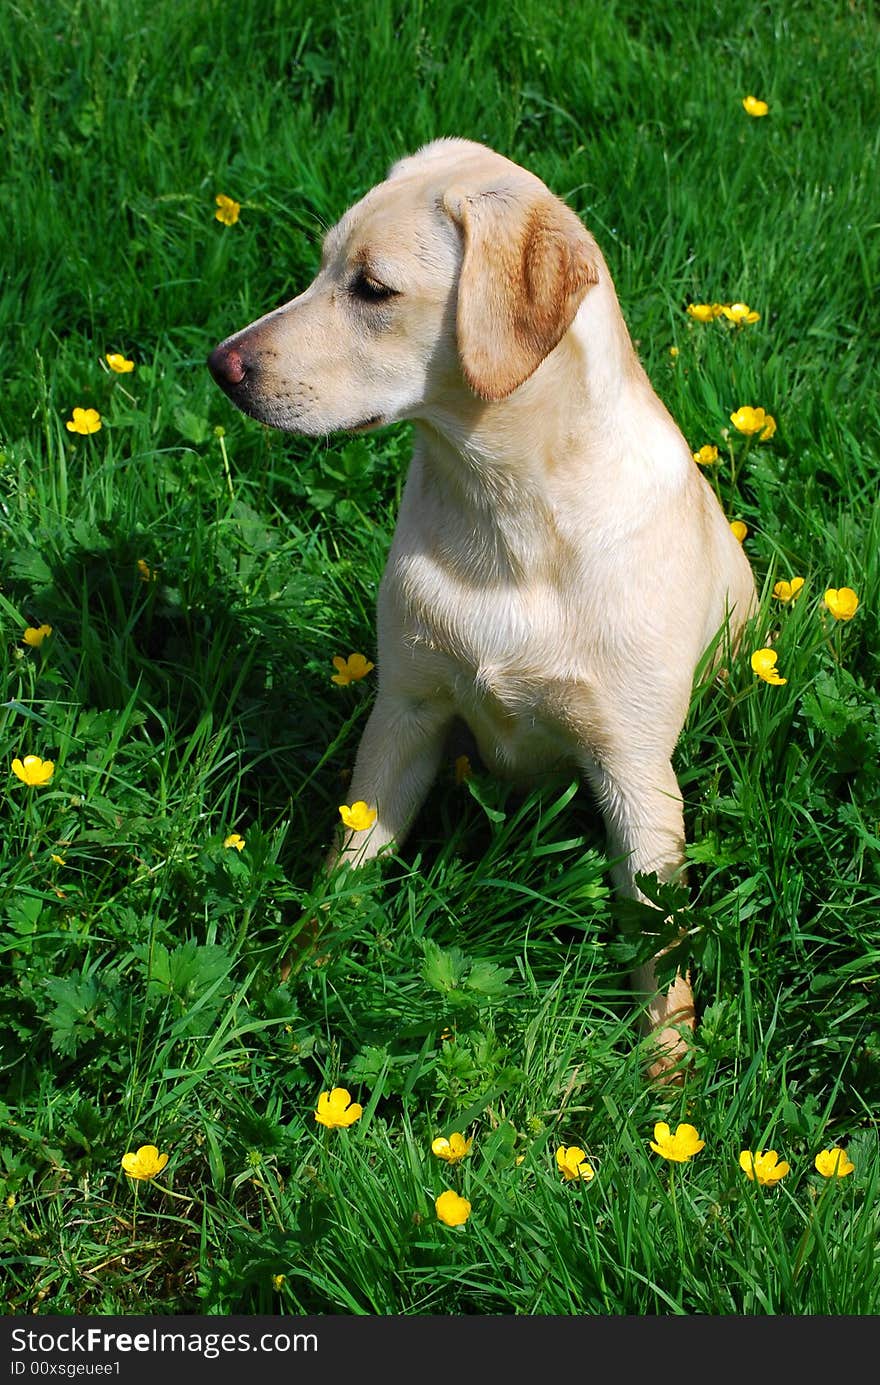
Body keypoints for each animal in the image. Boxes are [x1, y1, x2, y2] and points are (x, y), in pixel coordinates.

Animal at [207, 137, 759, 1069]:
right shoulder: (403, 717)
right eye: (322, 264)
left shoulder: (637, 777)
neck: (505, 513)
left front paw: (667, 1076)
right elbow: (344, 871)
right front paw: (292, 984)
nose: (221, 365)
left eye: (372, 289)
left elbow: (660, 940)